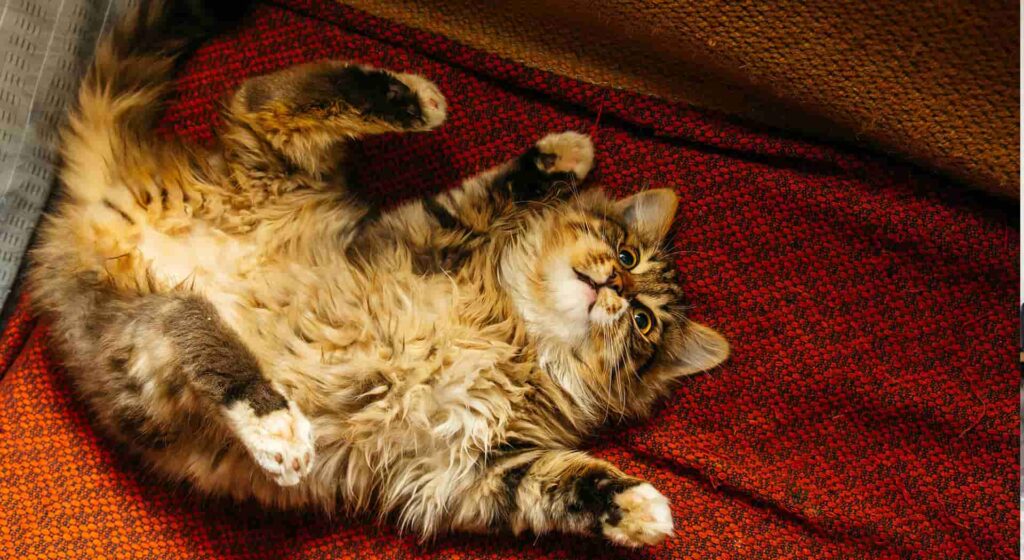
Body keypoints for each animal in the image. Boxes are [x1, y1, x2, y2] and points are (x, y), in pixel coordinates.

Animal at [29, 0, 729, 544]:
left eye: (643, 322)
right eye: (626, 256)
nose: (614, 287)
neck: (521, 335)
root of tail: (110, 204)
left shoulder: (468, 469)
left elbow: (560, 483)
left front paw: (636, 507)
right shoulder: (426, 233)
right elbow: (496, 191)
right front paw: (564, 156)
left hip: (139, 351)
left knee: (187, 310)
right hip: (264, 189)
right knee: (266, 99)